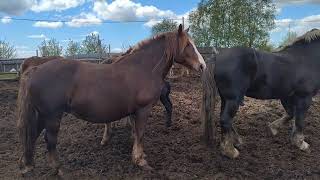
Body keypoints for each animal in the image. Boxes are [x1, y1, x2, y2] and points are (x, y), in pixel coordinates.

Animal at [17, 24, 206, 175]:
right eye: (188, 45)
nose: (202, 66)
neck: (142, 68)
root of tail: (35, 70)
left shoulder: (133, 112)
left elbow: (135, 132)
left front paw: (137, 155)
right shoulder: (143, 110)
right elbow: (140, 133)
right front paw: (140, 160)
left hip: (42, 116)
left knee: (32, 136)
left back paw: (28, 165)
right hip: (52, 117)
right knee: (49, 140)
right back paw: (58, 169)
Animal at [209, 28, 320, 158]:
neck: (305, 58)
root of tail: (218, 56)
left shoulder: (286, 96)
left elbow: (290, 114)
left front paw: (273, 128)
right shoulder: (304, 97)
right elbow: (299, 120)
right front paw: (301, 143)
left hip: (225, 98)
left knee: (226, 119)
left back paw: (237, 141)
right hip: (233, 99)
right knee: (225, 119)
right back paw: (230, 151)